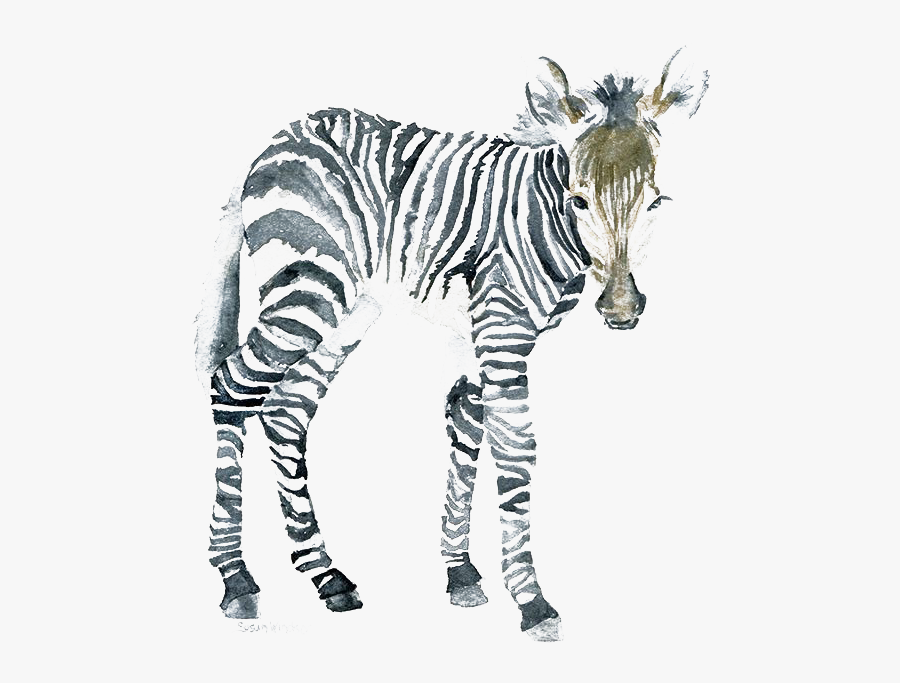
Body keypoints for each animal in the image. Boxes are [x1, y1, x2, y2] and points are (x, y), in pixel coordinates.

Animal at [196, 51, 708, 641]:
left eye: (655, 202)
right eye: (579, 199)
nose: (622, 309)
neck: (548, 218)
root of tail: (269, 145)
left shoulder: (477, 332)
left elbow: (465, 425)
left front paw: (460, 573)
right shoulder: (503, 329)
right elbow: (516, 451)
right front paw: (532, 601)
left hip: (346, 310)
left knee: (286, 413)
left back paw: (327, 576)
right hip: (305, 293)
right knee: (230, 389)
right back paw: (235, 579)